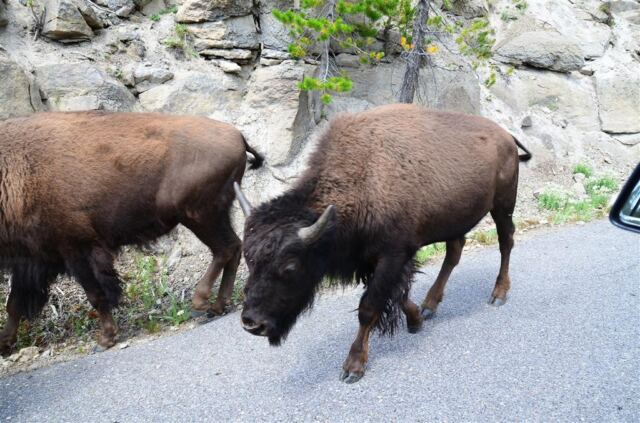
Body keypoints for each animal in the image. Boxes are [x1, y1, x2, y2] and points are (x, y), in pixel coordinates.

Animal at [0, 111, 262, 355]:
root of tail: (237, 136)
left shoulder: (76, 250)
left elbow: (96, 294)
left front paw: (106, 339)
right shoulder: (34, 259)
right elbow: (14, 303)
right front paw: (4, 343)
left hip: (199, 216)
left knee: (225, 249)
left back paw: (201, 301)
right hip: (213, 215)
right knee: (233, 248)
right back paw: (217, 305)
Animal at [234, 103, 531, 383]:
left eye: (290, 266)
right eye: (249, 259)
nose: (251, 323)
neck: (362, 176)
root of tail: (507, 136)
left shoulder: (393, 255)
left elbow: (369, 307)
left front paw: (353, 367)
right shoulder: (372, 260)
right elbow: (397, 296)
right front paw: (416, 319)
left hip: (503, 206)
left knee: (506, 242)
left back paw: (498, 294)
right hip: (456, 219)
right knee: (454, 253)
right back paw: (430, 305)